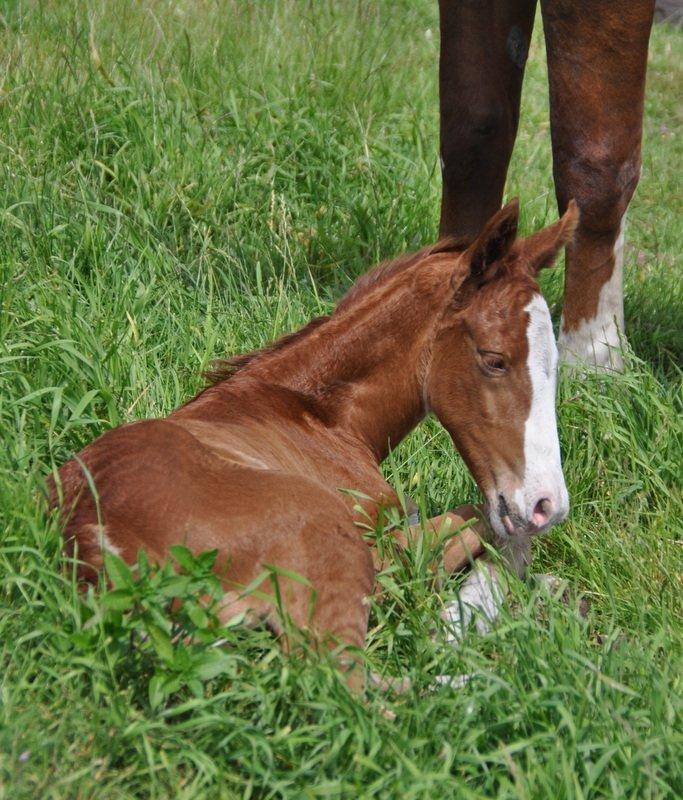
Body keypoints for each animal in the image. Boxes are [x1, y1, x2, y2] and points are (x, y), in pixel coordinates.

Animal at [50, 198, 580, 688]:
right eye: (494, 360)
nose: (547, 505)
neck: (322, 415)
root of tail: (103, 555)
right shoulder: (391, 546)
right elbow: (481, 522)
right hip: (333, 548)